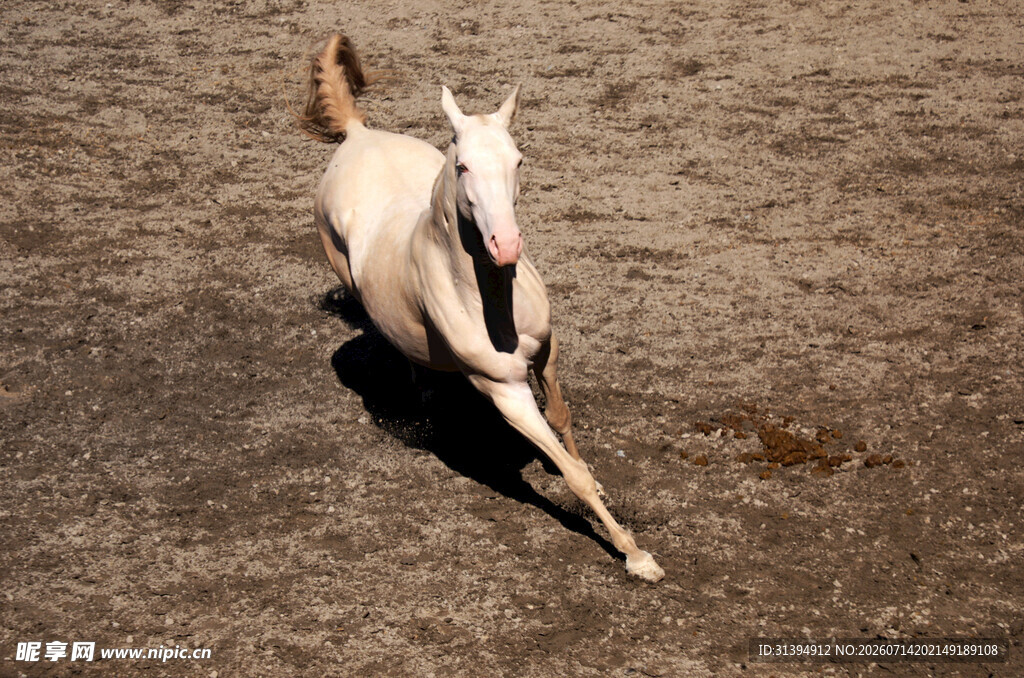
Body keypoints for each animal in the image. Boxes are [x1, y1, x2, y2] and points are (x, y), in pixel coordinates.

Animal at [297, 34, 664, 582]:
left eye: (518, 160)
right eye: (464, 165)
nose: (506, 245)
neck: (488, 299)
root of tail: (358, 136)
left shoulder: (546, 350)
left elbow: (562, 419)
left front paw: (599, 482)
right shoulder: (505, 391)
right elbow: (569, 473)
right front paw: (636, 556)